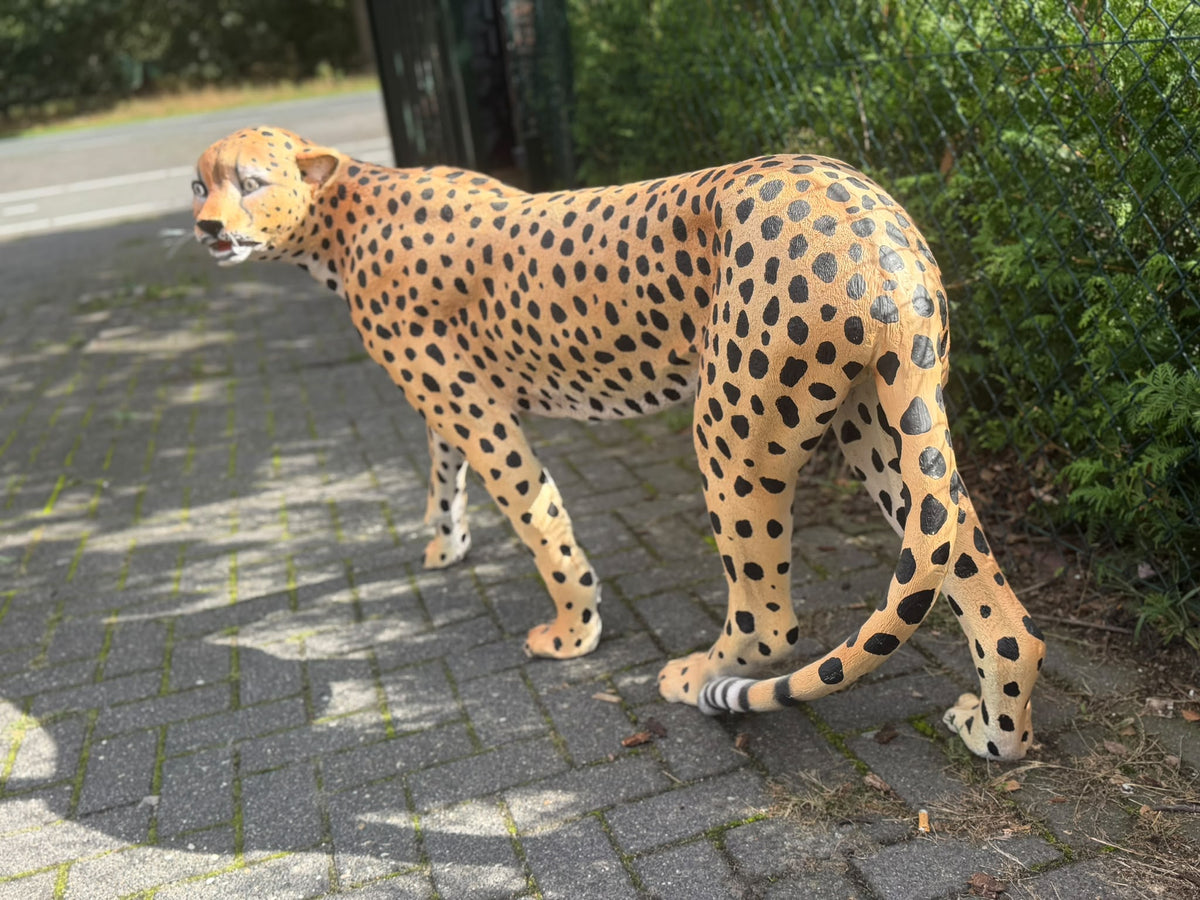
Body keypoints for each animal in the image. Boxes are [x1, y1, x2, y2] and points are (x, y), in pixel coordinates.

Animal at [192, 125, 1045, 760]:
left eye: (254, 181)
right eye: (202, 185)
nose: (207, 229)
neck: (342, 210)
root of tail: (872, 215)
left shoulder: (481, 413)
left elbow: (537, 516)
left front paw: (573, 631)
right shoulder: (451, 404)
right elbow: (443, 469)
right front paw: (445, 545)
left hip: (732, 431)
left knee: (769, 617)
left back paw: (696, 678)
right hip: (886, 425)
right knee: (995, 605)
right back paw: (996, 733)